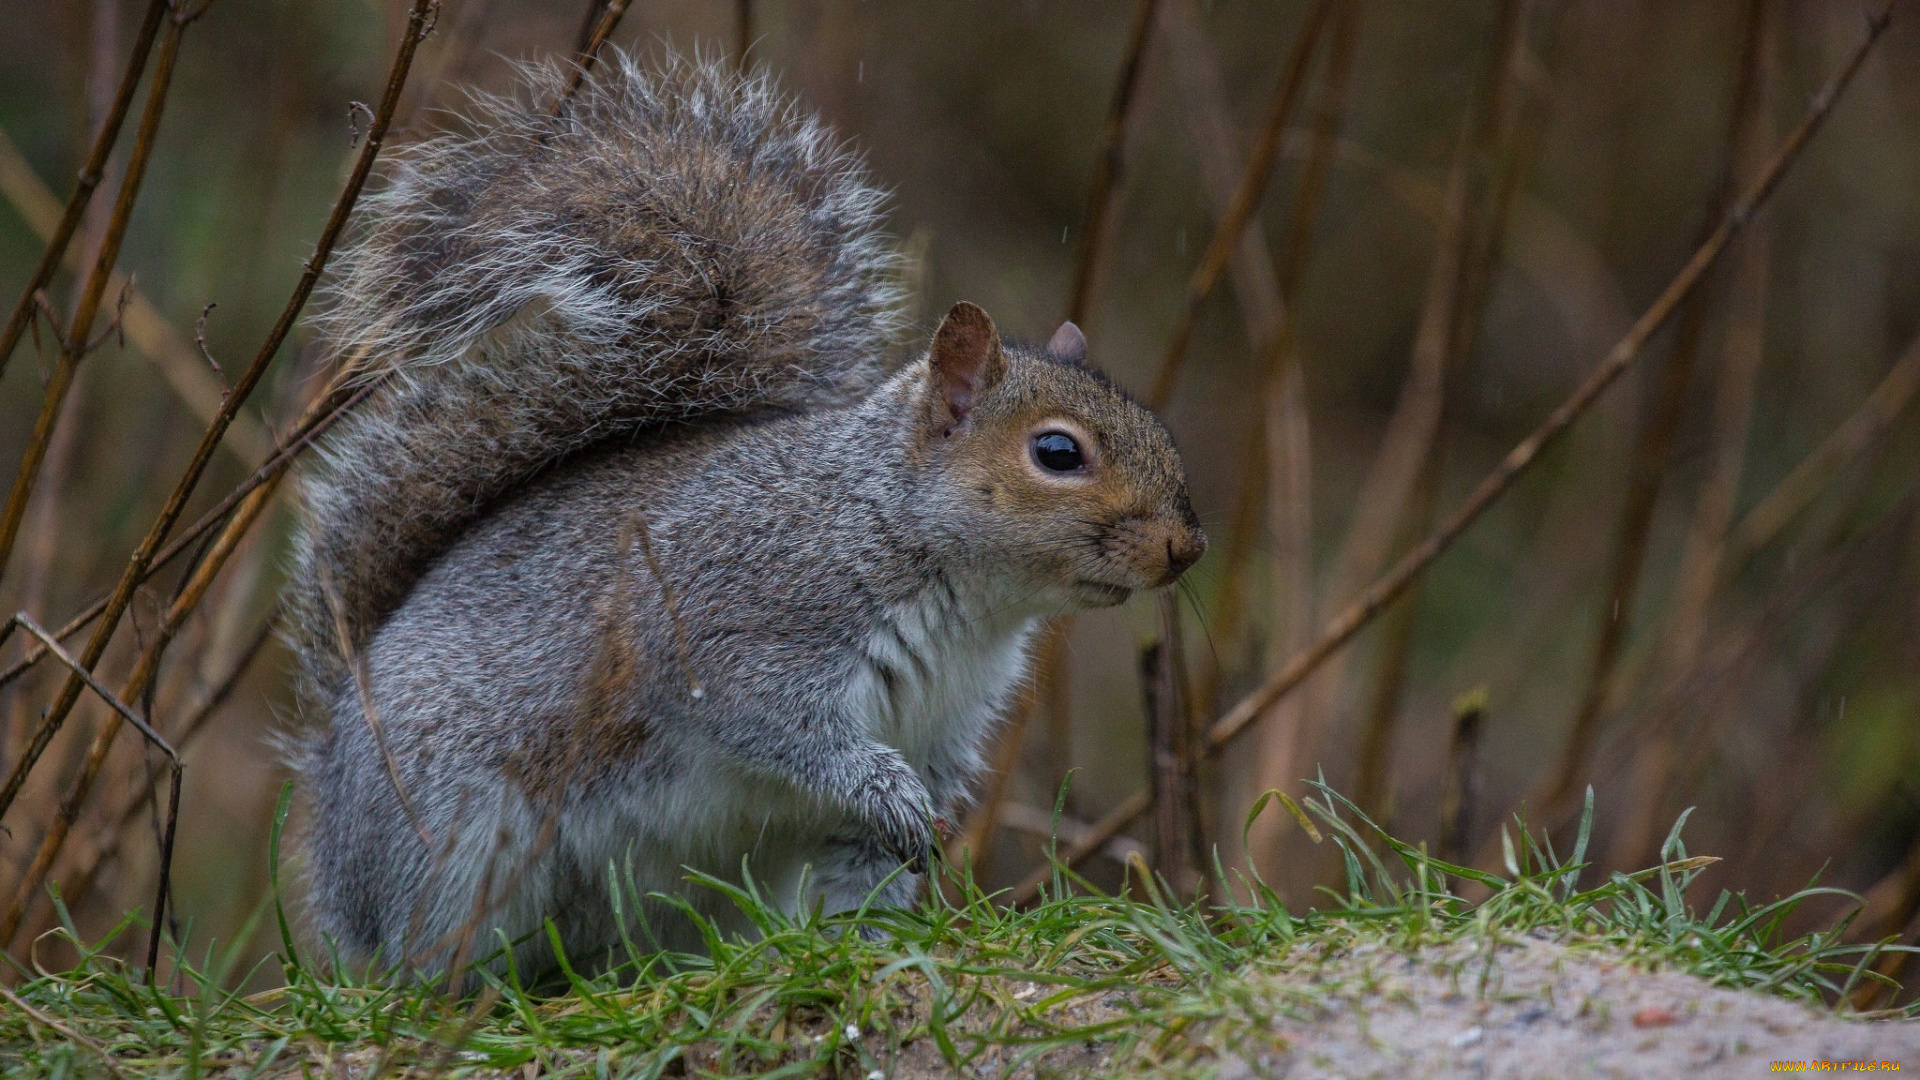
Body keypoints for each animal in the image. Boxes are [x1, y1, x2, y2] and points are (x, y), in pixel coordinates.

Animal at [288, 52, 1198, 976]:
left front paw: (874, 941)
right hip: (455, 843)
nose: (1184, 547)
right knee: (425, 959)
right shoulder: (734, 624)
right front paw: (889, 796)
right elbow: (777, 727)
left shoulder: (943, 728)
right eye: (1057, 453)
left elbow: (864, 872)